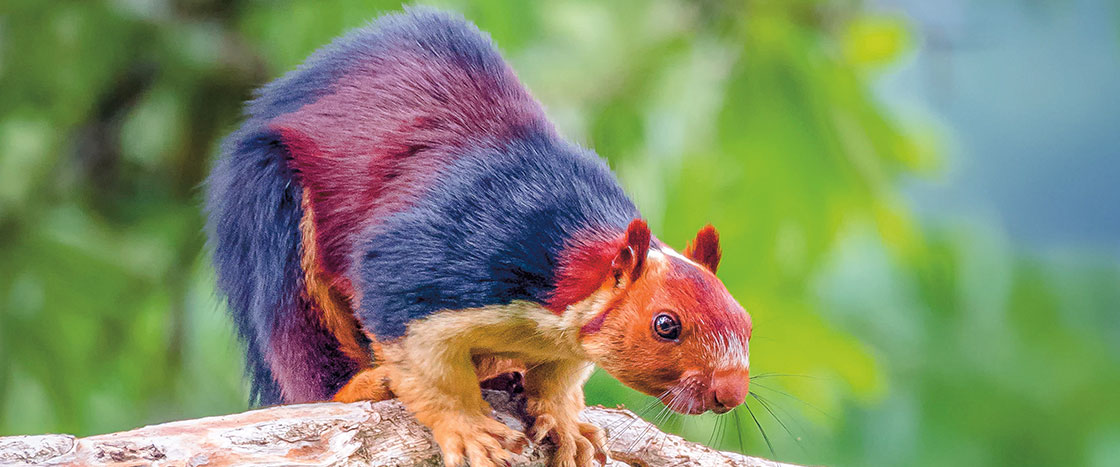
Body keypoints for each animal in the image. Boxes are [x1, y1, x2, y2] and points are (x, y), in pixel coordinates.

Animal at [208, 7, 752, 465]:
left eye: (745, 321)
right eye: (666, 325)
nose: (731, 392)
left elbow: (561, 373)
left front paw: (565, 419)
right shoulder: (440, 262)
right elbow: (427, 364)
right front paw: (468, 429)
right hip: (274, 218)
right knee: (302, 351)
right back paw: (357, 385)